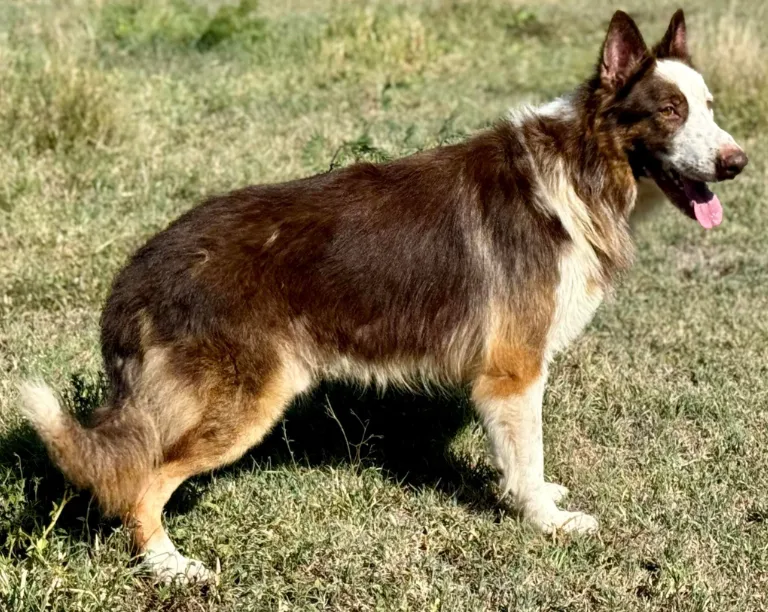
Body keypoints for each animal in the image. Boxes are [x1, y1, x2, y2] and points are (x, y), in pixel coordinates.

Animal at [21, 10, 748, 584]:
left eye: (710, 108)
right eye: (669, 111)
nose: (738, 162)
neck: (580, 170)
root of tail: (140, 268)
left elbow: (525, 463)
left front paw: (536, 494)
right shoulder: (513, 374)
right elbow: (527, 453)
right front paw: (548, 521)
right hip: (244, 406)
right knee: (141, 485)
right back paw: (169, 565)